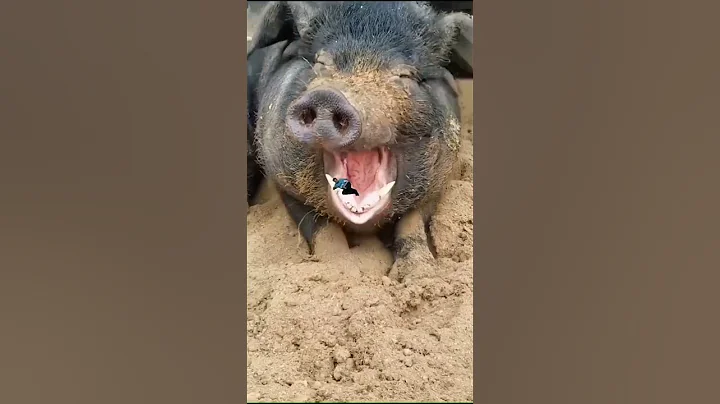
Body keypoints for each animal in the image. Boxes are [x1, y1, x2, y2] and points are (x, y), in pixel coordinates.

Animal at [247, 1, 472, 277]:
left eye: (405, 75)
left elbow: (412, 224)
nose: (328, 96)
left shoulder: (437, 185)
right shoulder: (283, 180)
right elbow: (321, 229)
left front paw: (418, 271)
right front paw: (340, 267)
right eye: (321, 62)